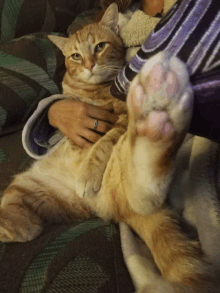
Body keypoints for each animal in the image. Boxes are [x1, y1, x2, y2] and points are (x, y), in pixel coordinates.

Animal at [0, 3, 219, 290]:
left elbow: (101, 146)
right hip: (29, 186)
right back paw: (22, 228)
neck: (94, 90)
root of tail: (113, 208)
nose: (90, 65)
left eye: (100, 46)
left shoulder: (120, 122)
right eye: (76, 56)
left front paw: (88, 171)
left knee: (145, 187)